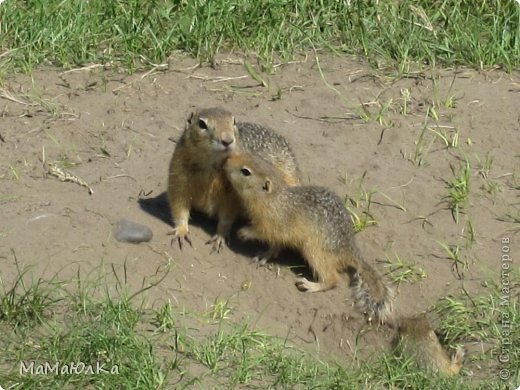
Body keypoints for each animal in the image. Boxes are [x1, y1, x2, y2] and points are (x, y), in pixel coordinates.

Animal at [167, 107, 300, 253]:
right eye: (202, 124)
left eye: (234, 121)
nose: (227, 140)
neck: (209, 163)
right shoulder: (178, 176)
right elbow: (179, 206)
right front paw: (181, 231)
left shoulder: (232, 195)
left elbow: (227, 216)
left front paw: (220, 236)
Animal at [223, 152, 394, 322]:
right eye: (252, 157)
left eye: (246, 171)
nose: (226, 161)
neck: (273, 198)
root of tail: (350, 250)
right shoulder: (276, 235)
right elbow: (274, 246)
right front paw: (264, 255)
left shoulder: (272, 225)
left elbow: (262, 233)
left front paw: (243, 232)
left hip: (315, 252)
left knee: (332, 279)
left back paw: (310, 285)